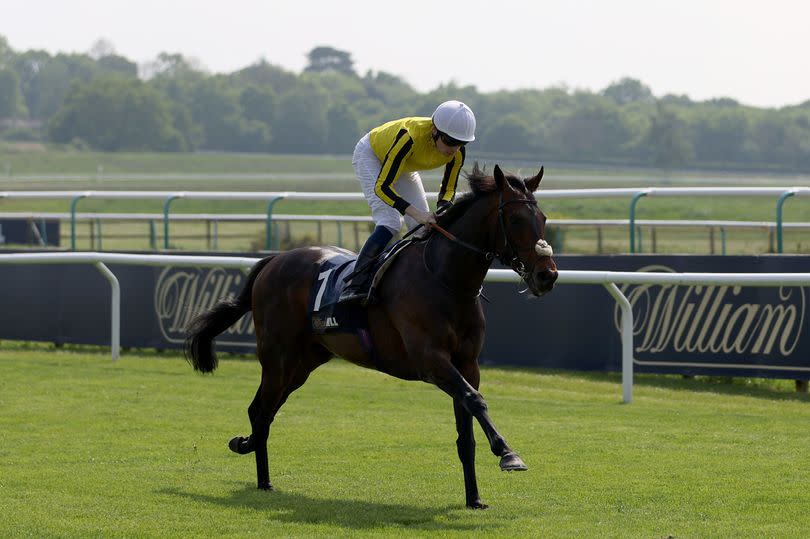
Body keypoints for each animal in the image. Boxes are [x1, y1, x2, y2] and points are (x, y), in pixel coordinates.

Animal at [186, 162, 560, 508]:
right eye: (516, 220)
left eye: (542, 218)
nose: (547, 275)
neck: (445, 280)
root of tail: (273, 260)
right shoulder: (431, 361)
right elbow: (476, 400)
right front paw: (508, 454)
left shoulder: (467, 364)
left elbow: (465, 429)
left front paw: (474, 499)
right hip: (278, 357)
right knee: (261, 411)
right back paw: (260, 476)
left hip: (303, 363)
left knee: (266, 409)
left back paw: (250, 452)